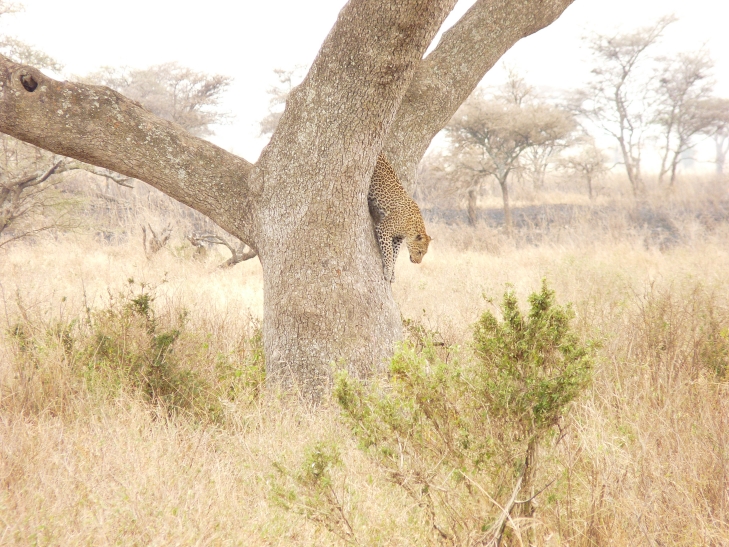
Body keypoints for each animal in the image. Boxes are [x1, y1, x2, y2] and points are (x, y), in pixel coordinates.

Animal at [368, 154, 432, 283]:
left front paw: (392, 274)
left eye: (424, 253)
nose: (418, 263)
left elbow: (395, 254)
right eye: (420, 252)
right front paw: (388, 272)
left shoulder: (398, 238)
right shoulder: (384, 229)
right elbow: (388, 253)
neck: (410, 227)